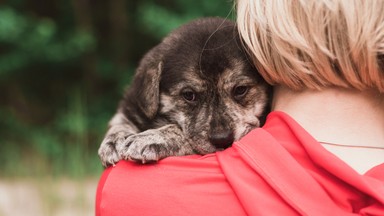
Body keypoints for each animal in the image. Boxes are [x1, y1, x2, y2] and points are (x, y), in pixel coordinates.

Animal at [97, 17, 270, 167]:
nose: (222, 140)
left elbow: (181, 133)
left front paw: (151, 138)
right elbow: (120, 122)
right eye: (189, 95)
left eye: (240, 90)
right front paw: (114, 141)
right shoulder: (130, 108)